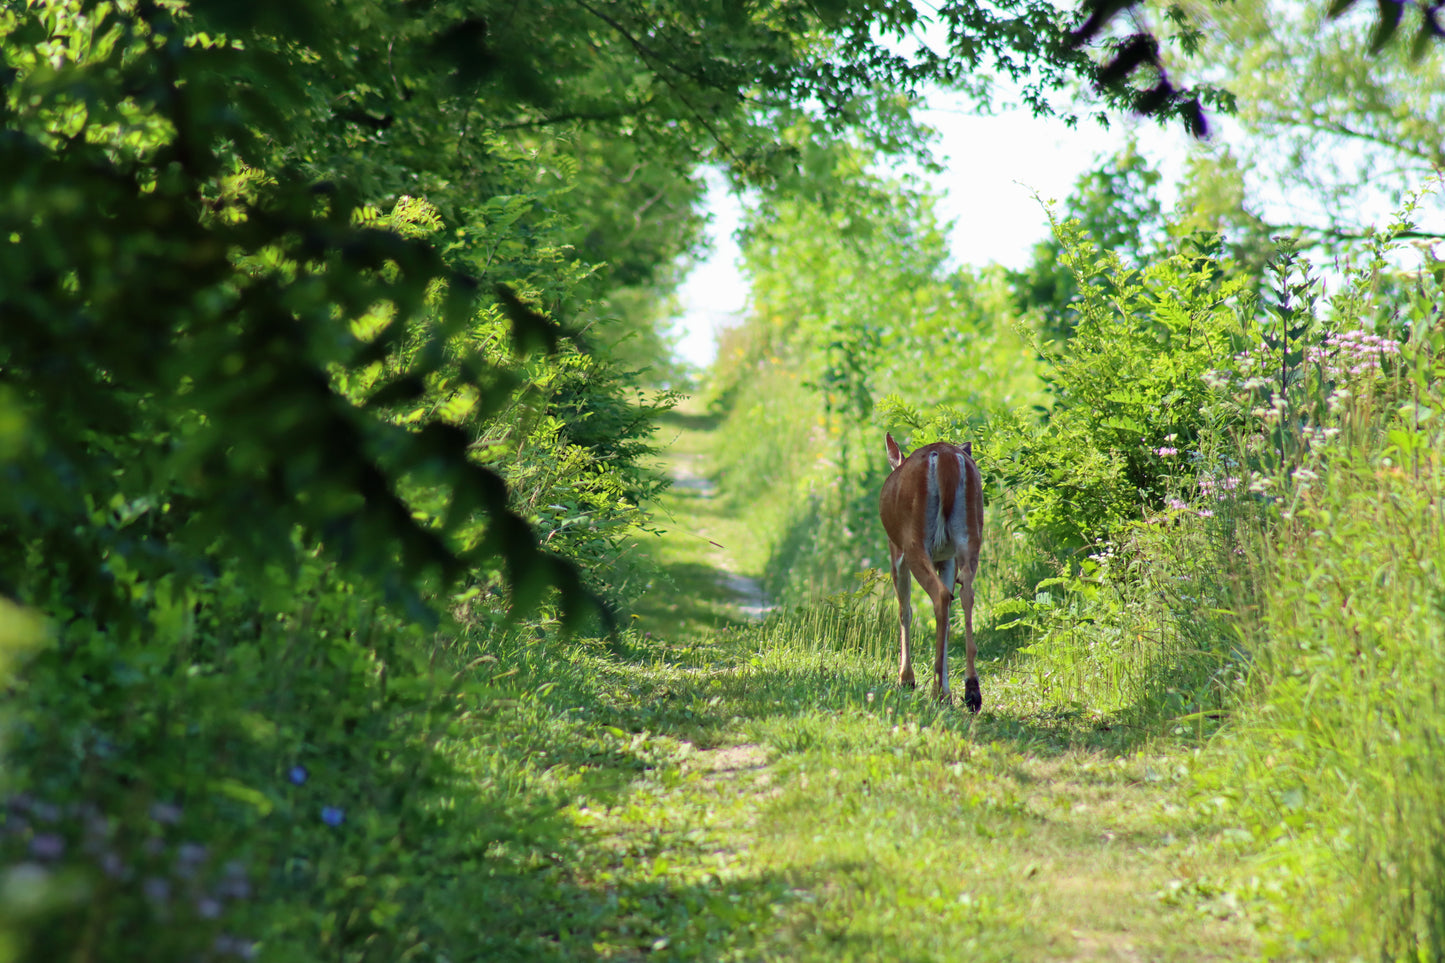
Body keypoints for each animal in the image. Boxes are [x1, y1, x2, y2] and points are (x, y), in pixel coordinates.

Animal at [872, 430, 988, 708]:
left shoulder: (896, 551)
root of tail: (947, 458)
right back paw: (970, 690)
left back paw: (940, 692)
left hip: (914, 539)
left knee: (940, 597)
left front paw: (906, 679)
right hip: (970, 536)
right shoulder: (946, 557)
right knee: (965, 594)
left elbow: (904, 611)